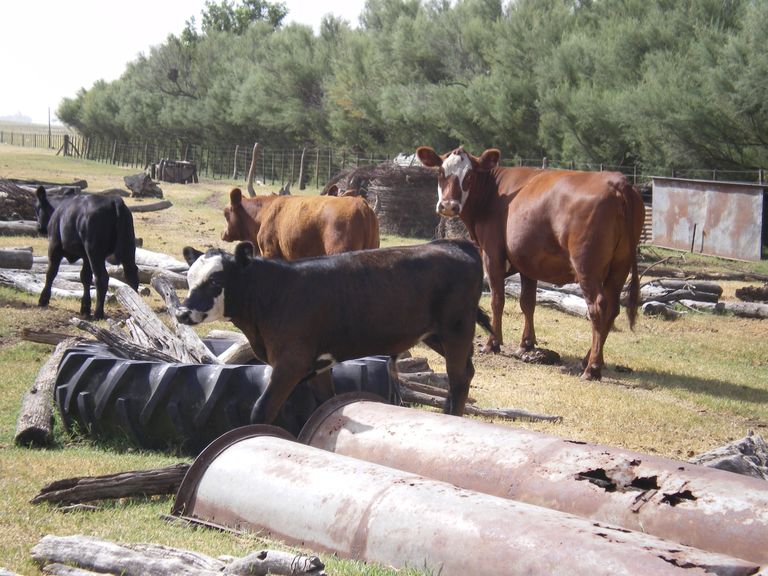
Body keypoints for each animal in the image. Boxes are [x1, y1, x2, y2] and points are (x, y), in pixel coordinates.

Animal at [35, 186, 140, 318]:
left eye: (37, 207)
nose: (39, 228)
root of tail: (115, 200)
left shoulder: (54, 245)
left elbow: (51, 272)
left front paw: (43, 299)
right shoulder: (85, 256)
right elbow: (85, 277)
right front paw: (85, 308)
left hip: (94, 251)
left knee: (101, 277)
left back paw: (98, 313)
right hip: (128, 247)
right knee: (131, 274)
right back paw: (134, 309)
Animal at [177, 238, 492, 424]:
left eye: (216, 281)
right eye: (189, 278)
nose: (181, 312)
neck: (274, 293)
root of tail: (455, 244)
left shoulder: (290, 363)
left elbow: (261, 409)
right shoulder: (318, 366)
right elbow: (328, 403)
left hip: (456, 329)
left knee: (458, 378)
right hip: (436, 334)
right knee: (467, 373)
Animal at [416, 146, 644, 380]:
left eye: (469, 176)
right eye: (441, 172)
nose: (448, 206)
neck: (494, 194)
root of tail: (618, 182)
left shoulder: (492, 254)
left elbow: (497, 300)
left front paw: (492, 343)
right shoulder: (528, 261)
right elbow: (528, 302)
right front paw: (526, 344)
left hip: (587, 266)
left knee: (598, 307)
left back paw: (592, 368)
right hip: (620, 265)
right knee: (613, 308)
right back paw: (587, 359)